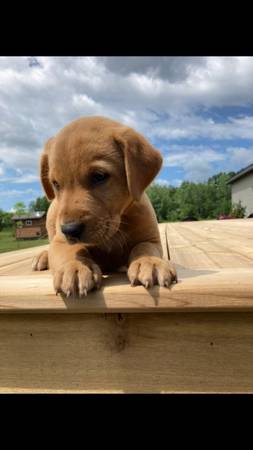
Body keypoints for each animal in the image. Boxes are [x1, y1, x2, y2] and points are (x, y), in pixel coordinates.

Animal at [32, 116, 177, 296]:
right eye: (56, 184)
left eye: (99, 176)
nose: (70, 230)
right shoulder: (61, 241)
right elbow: (69, 252)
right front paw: (75, 267)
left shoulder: (151, 239)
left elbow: (144, 247)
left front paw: (150, 262)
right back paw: (42, 256)